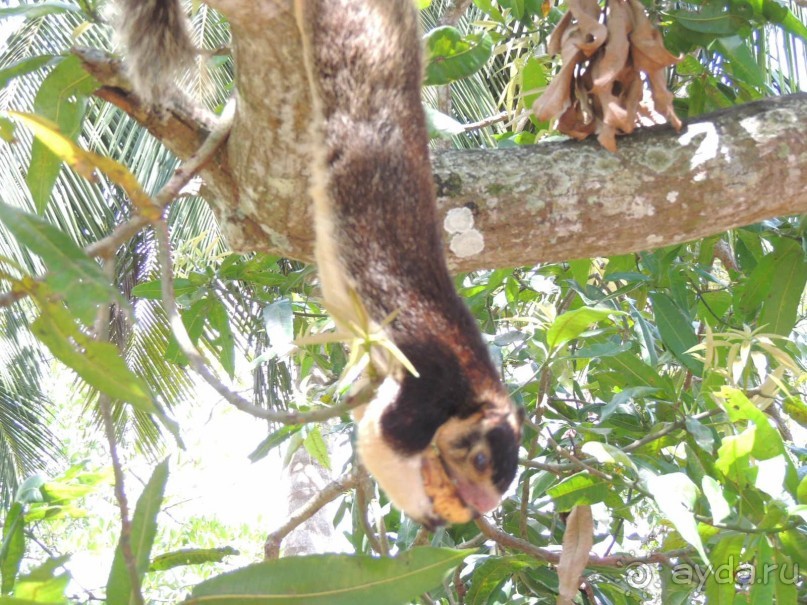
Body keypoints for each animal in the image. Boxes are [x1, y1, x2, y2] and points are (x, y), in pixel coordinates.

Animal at [118, 0, 524, 524]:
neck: (475, 385)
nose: (479, 505)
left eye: (500, 485)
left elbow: (362, 404)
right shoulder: (430, 387)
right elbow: (381, 437)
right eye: (478, 460)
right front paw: (428, 510)